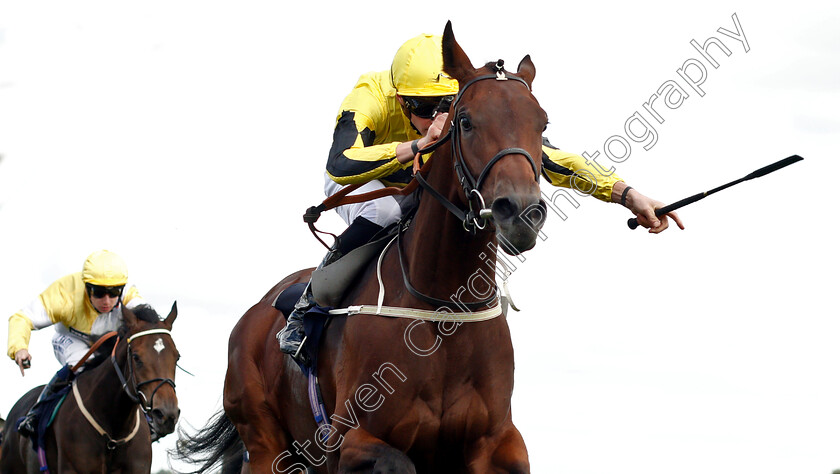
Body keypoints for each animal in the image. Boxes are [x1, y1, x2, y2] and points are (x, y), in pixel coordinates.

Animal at [175, 22, 548, 474]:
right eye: (464, 121)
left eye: (542, 124)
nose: (521, 212)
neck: (443, 310)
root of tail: (255, 312)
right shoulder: (351, 440)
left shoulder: (497, 443)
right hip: (265, 442)